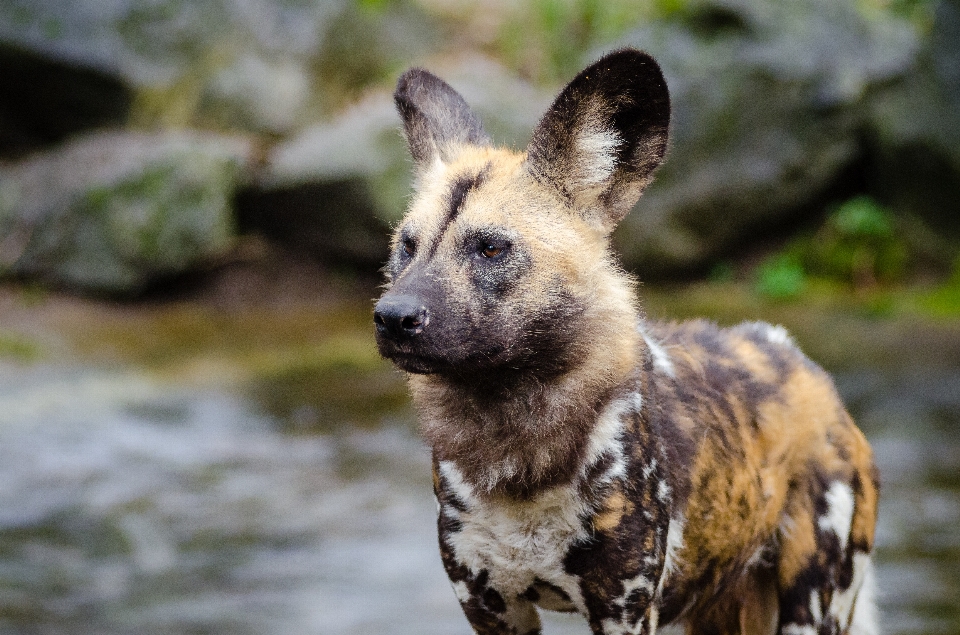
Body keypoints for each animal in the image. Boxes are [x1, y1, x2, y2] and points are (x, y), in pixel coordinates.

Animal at [374, 51, 876, 635]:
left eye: (491, 249)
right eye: (406, 247)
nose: (392, 317)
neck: (517, 450)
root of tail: (801, 361)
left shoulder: (623, 608)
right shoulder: (489, 606)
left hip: (812, 604)